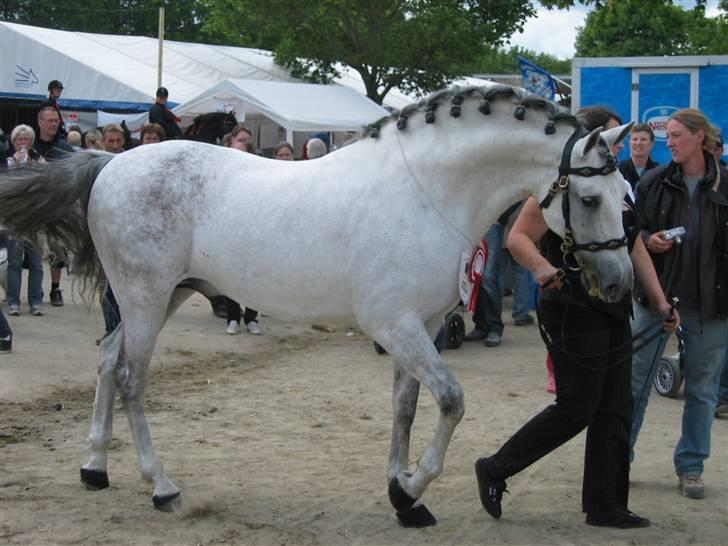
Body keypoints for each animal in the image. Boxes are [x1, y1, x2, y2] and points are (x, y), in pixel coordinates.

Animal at [0, 86, 632, 528]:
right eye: (589, 198)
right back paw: (163, 488)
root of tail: (111, 163)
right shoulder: (393, 324)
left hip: (161, 296)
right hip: (146, 297)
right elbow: (452, 401)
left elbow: (406, 406)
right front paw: (412, 486)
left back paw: (94, 468)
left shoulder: (421, 325)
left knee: (108, 361)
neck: (426, 190)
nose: (620, 284)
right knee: (131, 378)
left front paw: (402, 497)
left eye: (626, 196)